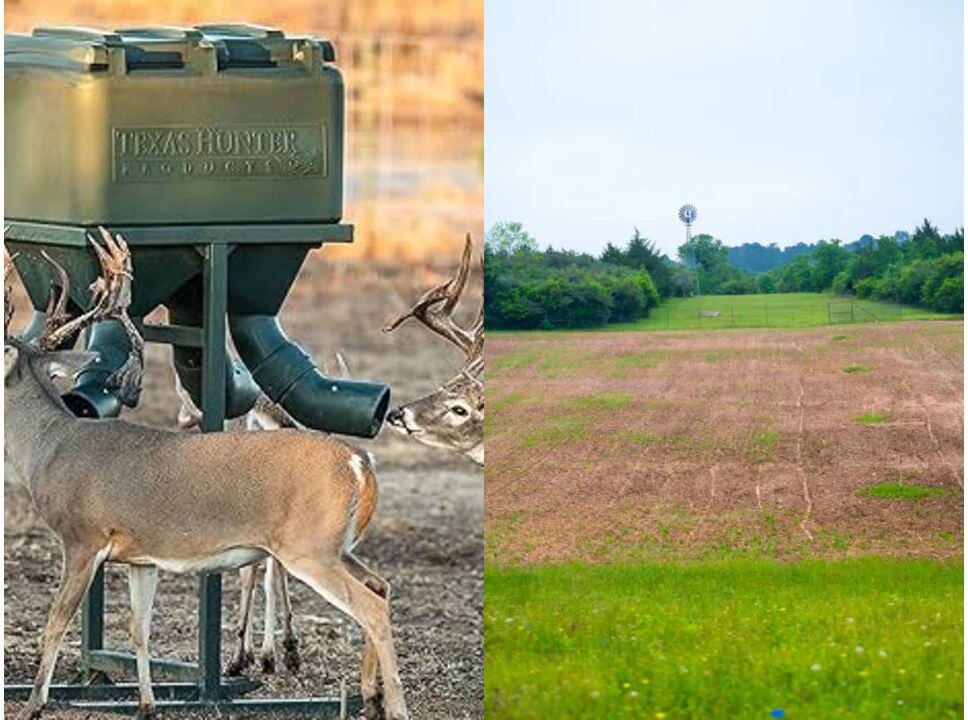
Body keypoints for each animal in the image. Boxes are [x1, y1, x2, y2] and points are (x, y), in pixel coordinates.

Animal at [5, 229, 408, 720]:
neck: (48, 446)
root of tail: (359, 463)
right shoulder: (140, 555)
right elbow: (139, 628)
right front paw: (146, 705)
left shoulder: (83, 537)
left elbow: (56, 622)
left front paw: (33, 705)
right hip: (336, 545)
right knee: (380, 585)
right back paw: (369, 698)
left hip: (309, 546)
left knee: (370, 606)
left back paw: (396, 705)